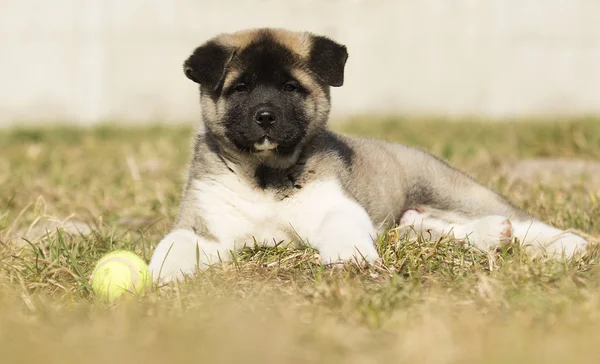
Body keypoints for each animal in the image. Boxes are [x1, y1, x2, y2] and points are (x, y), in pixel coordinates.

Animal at [148, 28, 588, 282]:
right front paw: (162, 277)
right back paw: (489, 235)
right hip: (408, 222)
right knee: (425, 229)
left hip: (453, 191)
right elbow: (174, 245)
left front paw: (348, 258)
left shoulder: (336, 205)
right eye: (241, 88)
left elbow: (341, 227)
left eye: (291, 88)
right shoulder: (202, 226)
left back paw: (567, 243)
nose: (266, 117)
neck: (265, 176)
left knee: (524, 222)